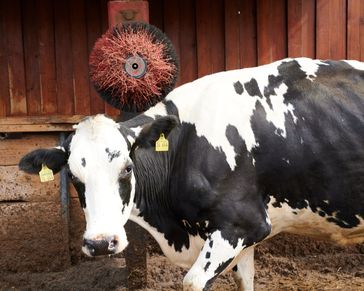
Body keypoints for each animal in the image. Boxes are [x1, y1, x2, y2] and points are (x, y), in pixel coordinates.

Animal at [19, 58, 364, 290]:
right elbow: (246, 280)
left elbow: (193, 281)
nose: (102, 243)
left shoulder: (241, 224)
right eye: (74, 176)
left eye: (127, 168)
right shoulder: (243, 237)